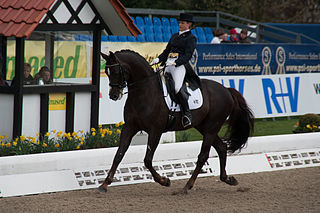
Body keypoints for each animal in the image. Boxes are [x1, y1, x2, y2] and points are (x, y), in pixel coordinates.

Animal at [99, 49, 254, 193]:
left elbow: (147, 160)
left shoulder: (155, 131)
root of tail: (226, 90)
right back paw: (227, 179)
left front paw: (164, 181)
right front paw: (104, 185)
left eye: (116, 71)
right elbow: (118, 155)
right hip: (204, 127)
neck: (144, 92)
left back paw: (187, 187)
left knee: (203, 156)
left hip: (211, 127)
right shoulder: (129, 127)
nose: (113, 95)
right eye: (107, 72)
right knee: (221, 148)